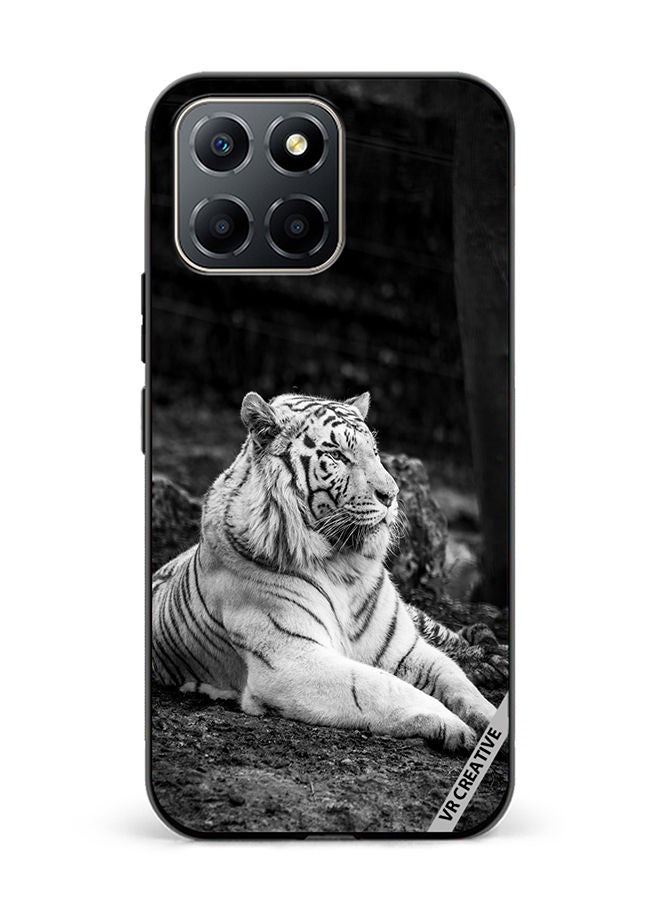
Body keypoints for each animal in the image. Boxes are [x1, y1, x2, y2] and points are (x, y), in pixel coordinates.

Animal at [152, 391, 503, 752]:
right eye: (337, 455)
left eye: (375, 453)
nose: (391, 495)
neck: (343, 566)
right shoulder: (291, 660)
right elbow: (381, 686)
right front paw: (454, 726)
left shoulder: (403, 648)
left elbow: (455, 678)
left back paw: (493, 658)